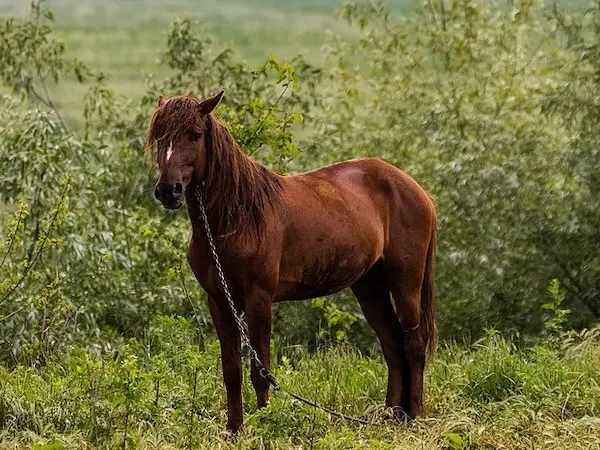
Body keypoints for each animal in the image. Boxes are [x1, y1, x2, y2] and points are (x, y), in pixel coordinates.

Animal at [145, 91, 436, 432]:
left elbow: (260, 371)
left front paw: (266, 425)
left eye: (195, 135)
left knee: (414, 342)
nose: (169, 191)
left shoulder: (259, 299)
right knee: (392, 345)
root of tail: (414, 188)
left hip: (406, 281)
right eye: (160, 136)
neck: (235, 219)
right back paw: (390, 417)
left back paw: (415, 415)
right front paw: (234, 430)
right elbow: (231, 371)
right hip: (369, 286)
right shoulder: (218, 301)